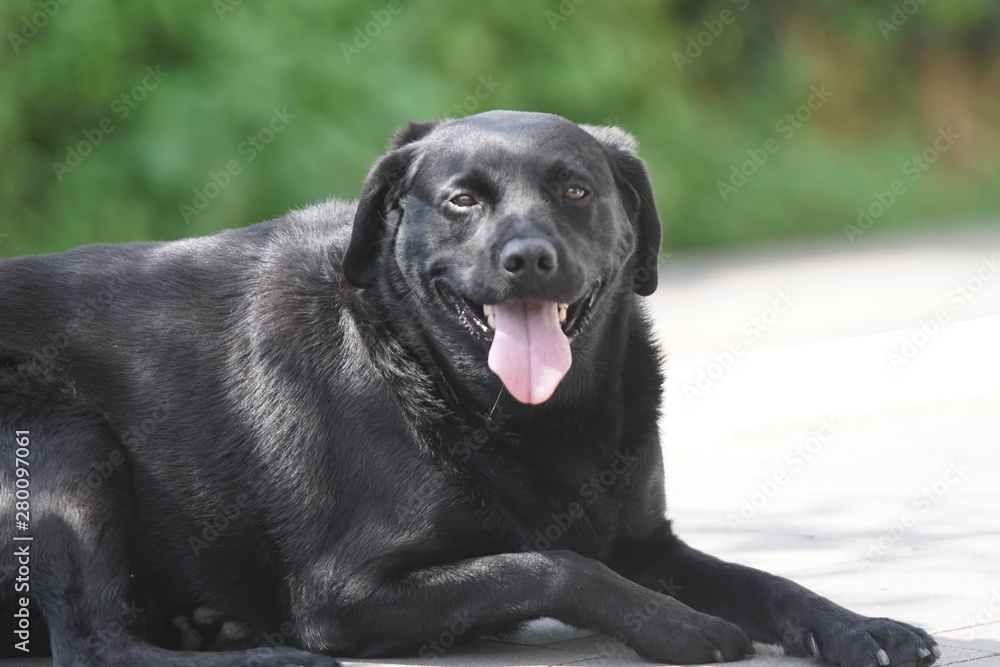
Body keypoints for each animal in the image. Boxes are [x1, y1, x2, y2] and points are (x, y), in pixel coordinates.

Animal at [1, 112, 936, 664]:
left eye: (575, 188)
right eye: (460, 201)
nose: (527, 258)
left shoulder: (649, 543)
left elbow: (765, 580)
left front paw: (859, 625)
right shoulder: (346, 591)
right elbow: (550, 562)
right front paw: (679, 627)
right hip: (64, 445)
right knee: (93, 643)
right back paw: (257, 649)